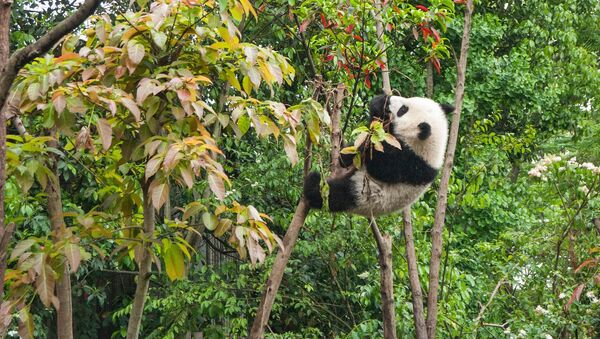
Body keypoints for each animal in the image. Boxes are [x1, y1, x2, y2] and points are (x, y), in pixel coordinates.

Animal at [302, 94, 452, 216]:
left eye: (403, 110)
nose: (390, 99)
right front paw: (379, 103)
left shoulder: (411, 164)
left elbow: (380, 167)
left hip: (364, 195)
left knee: (334, 195)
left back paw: (313, 183)